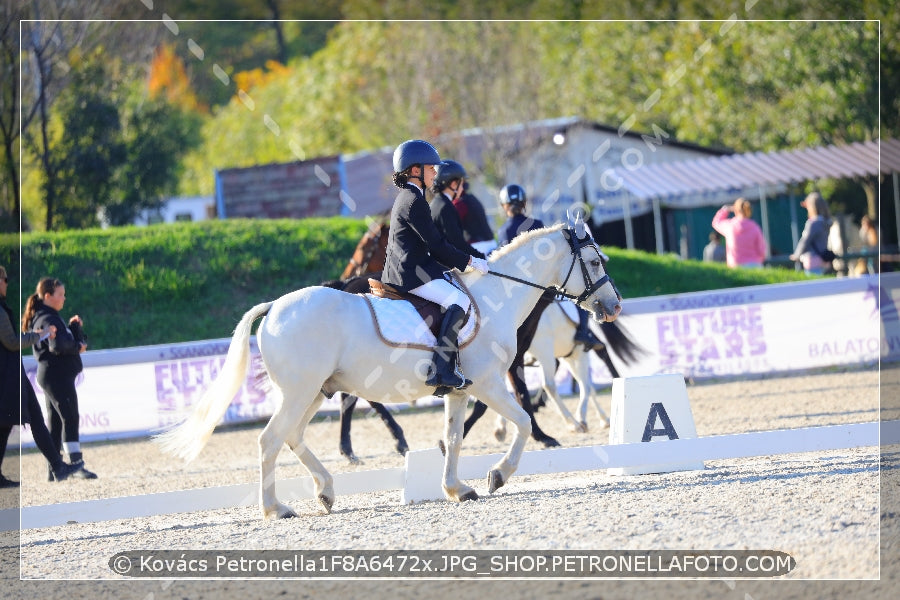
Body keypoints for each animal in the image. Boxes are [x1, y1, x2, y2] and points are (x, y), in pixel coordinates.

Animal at [156, 223, 620, 516]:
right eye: (596, 263)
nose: (613, 307)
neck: (496, 298)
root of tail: (273, 308)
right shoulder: (488, 384)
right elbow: (523, 420)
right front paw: (498, 475)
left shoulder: (459, 390)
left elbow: (454, 439)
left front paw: (457, 488)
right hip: (300, 391)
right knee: (270, 440)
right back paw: (276, 509)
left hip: (314, 392)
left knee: (292, 436)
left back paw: (326, 491)